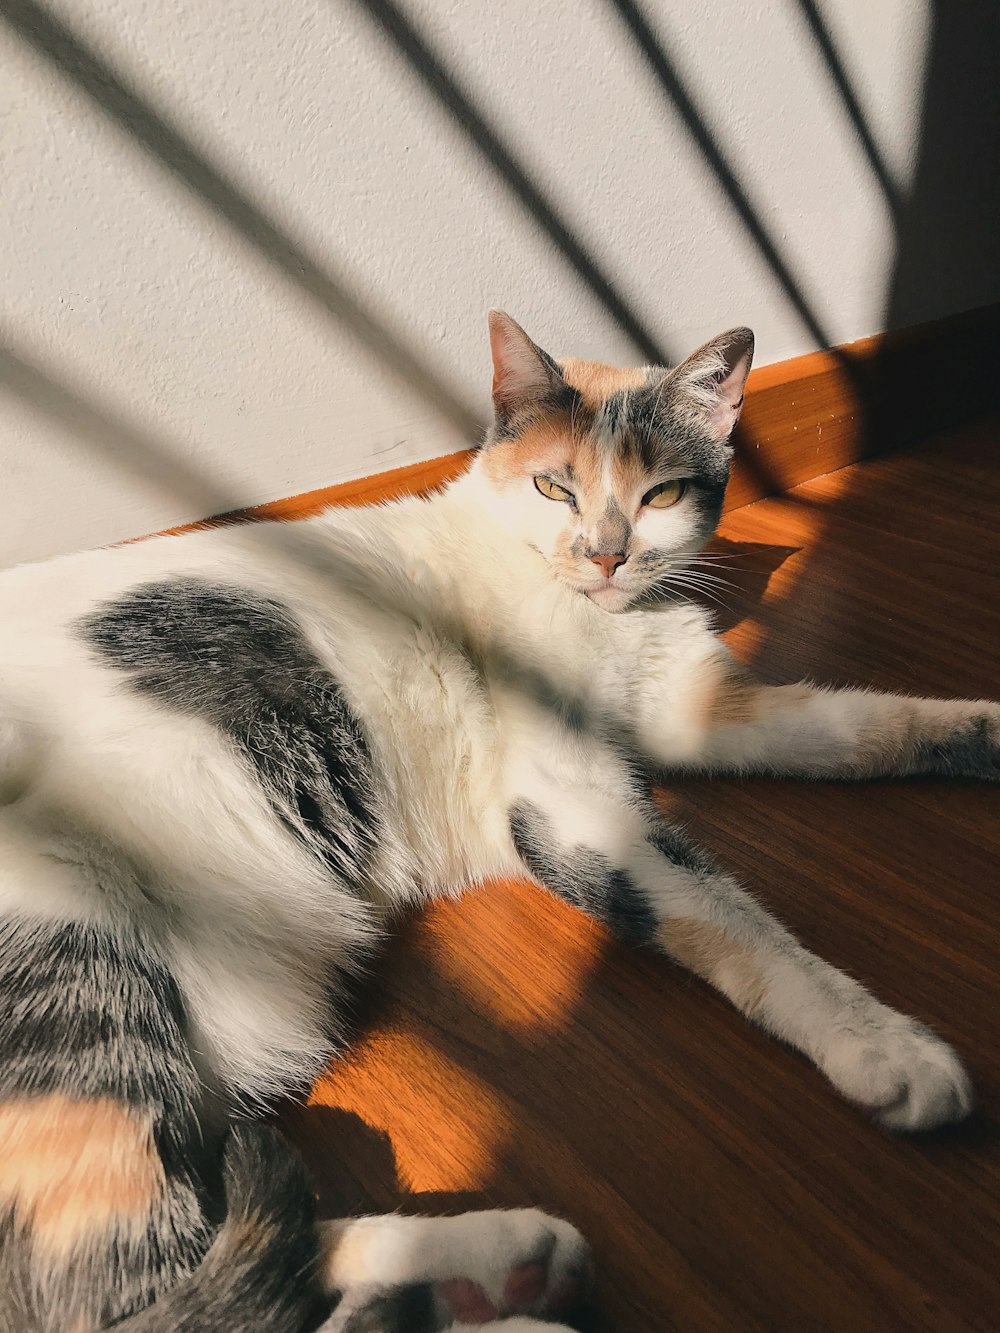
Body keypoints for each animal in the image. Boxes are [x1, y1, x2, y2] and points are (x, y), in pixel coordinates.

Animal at [0, 311, 997, 1333]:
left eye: (662, 493)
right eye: (556, 485)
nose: (606, 554)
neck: (601, 616)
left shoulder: (692, 709)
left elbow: (863, 724)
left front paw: (986, 731)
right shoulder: (569, 802)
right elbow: (728, 917)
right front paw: (883, 1044)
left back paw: (493, 1277)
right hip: (75, 966)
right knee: (110, 1290)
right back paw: (504, 1280)